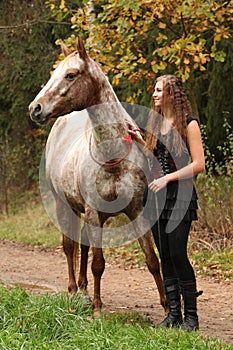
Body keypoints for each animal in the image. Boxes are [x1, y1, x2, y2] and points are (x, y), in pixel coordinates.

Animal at [28, 36, 167, 314]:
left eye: (70, 74)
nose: (35, 108)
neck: (112, 158)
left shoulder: (136, 211)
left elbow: (151, 259)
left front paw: (169, 310)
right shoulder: (92, 212)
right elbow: (98, 263)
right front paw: (97, 308)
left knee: (82, 242)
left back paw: (83, 289)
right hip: (64, 205)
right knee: (69, 245)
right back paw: (73, 290)